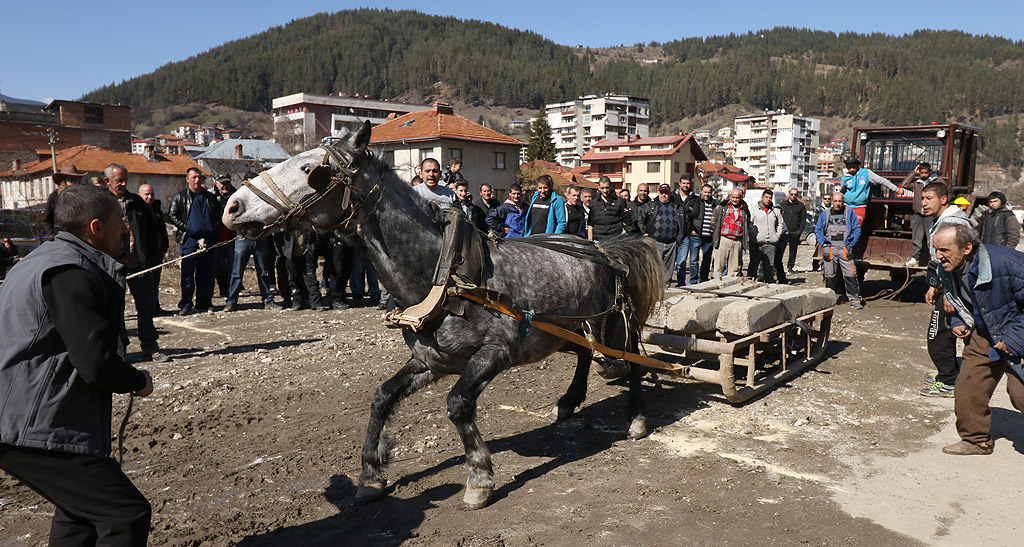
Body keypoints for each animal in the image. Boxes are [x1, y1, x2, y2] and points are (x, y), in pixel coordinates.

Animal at [224, 122, 663, 512]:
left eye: (311, 170)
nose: (232, 207)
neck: (443, 275)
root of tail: (603, 250)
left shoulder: (495, 353)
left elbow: (457, 404)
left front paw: (479, 477)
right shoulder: (430, 361)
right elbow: (382, 397)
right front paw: (371, 475)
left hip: (611, 327)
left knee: (629, 363)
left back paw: (637, 420)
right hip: (570, 327)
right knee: (586, 354)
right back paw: (570, 402)